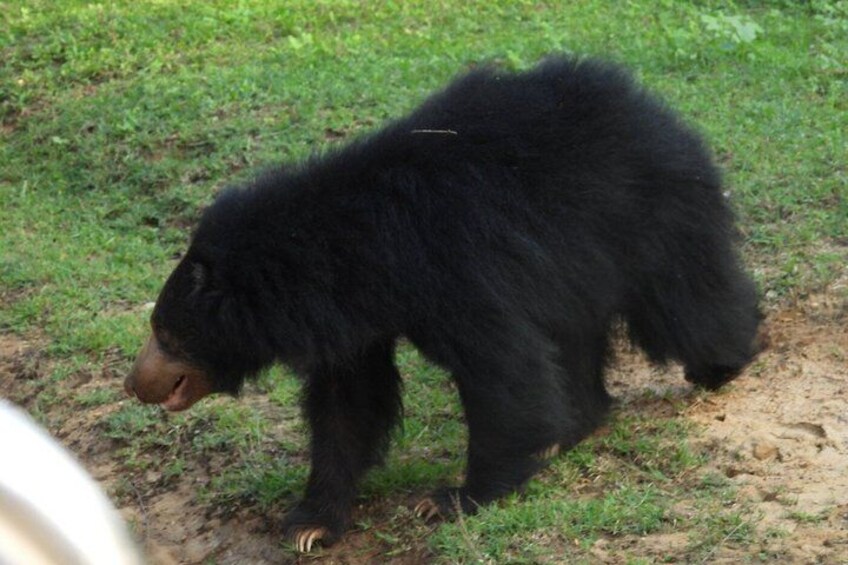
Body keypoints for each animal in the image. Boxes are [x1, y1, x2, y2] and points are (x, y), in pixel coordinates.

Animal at [124, 56, 761, 552]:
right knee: (577, 339)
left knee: (685, 303)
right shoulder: (354, 320)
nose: (134, 384)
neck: (349, 252)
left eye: (167, 334)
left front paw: (456, 499)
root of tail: (650, 106)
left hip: (648, 213)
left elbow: (502, 367)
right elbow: (349, 403)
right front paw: (310, 524)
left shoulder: (457, 266)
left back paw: (725, 361)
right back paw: (573, 426)